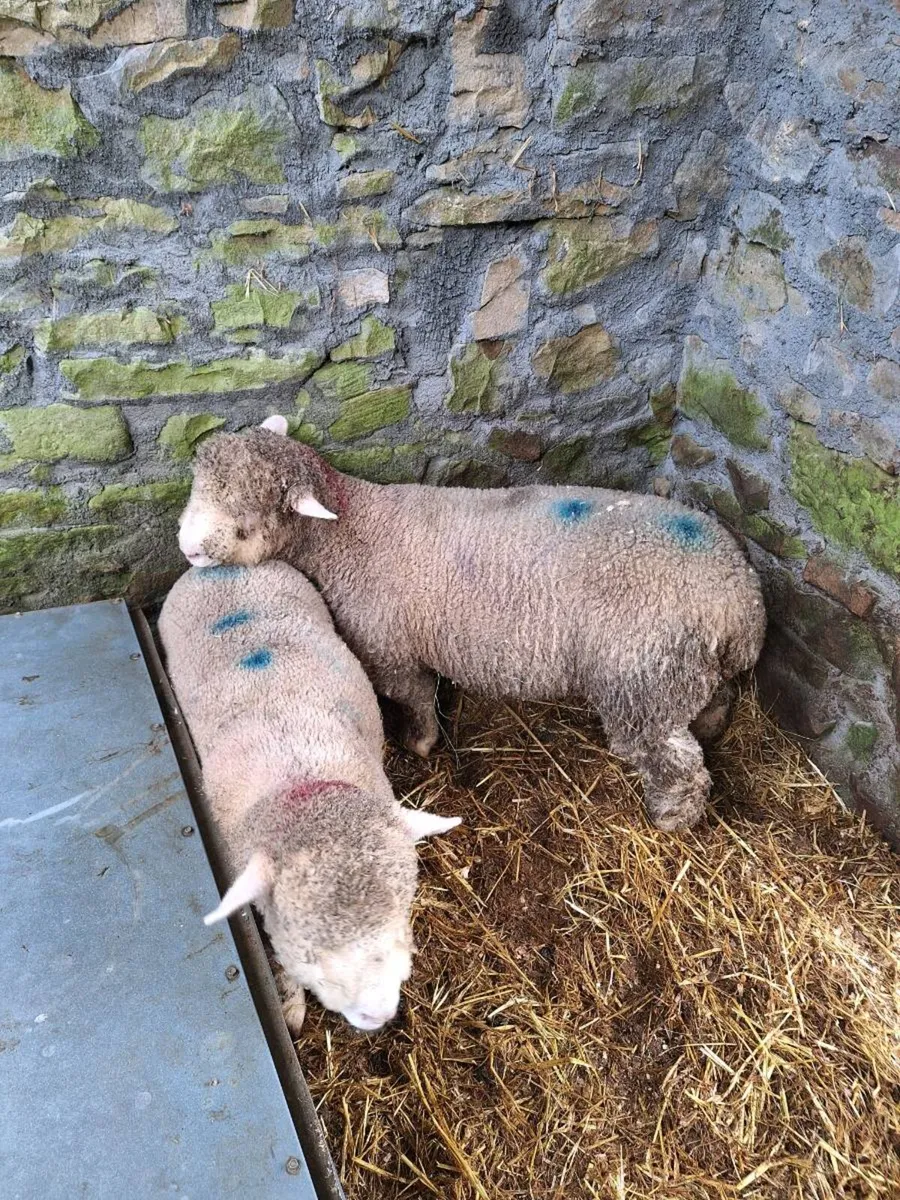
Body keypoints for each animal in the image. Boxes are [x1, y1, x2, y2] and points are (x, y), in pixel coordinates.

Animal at [158, 558, 460, 1034]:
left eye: (403, 913)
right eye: (311, 950)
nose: (380, 1014)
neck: (305, 782)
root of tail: (225, 568)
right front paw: (292, 1009)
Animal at [177, 416, 767, 832]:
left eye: (246, 522)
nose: (187, 548)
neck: (353, 531)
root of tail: (741, 600)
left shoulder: (390, 650)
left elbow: (415, 698)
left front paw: (420, 745)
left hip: (643, 678)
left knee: (677, 762)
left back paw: (671, 819)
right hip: (688, 670)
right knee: (714, 703)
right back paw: (711, 729)